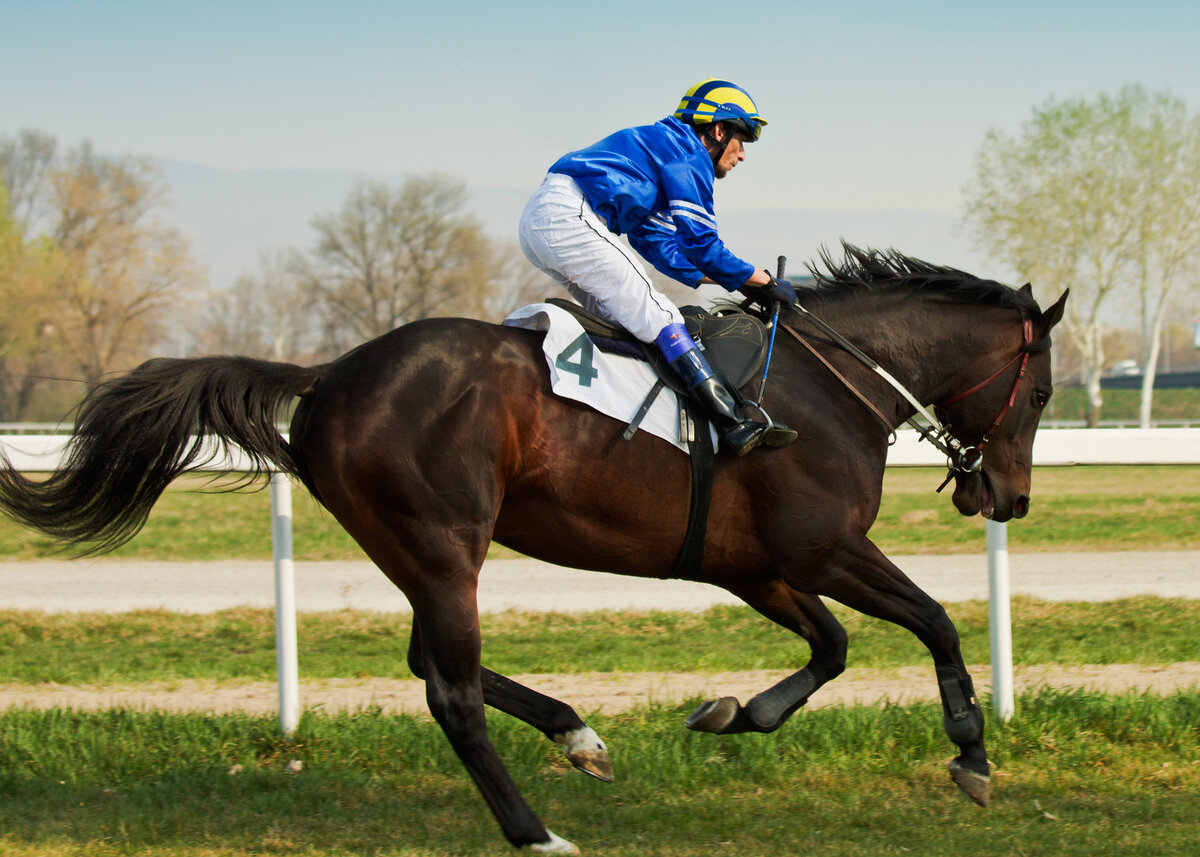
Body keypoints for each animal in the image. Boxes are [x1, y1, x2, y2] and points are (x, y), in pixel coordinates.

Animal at [0, 243, 1070, 849]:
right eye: (1046, 388)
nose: (1009, 497)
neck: (826, 385)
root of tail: (331, 374)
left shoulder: (755, 565)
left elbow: (834, 647)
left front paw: (733, 711)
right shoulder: (822, 548)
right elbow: (933, 620)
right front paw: (972, 753)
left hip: (420, 551)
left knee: (427, 659)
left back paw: (576, 734)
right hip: (444, 546)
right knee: (449, 690)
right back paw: (534, 830)